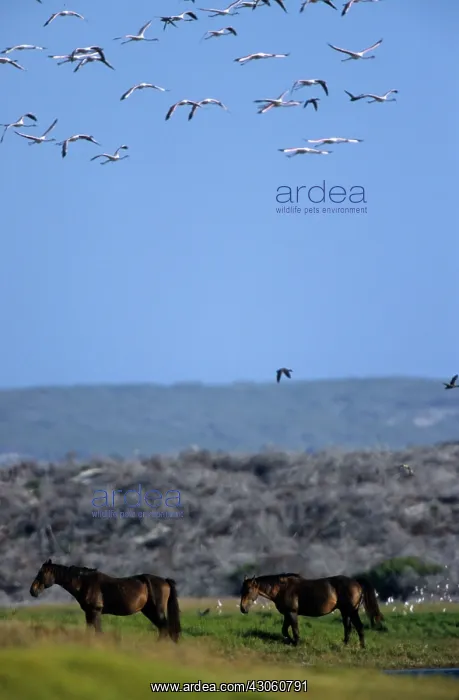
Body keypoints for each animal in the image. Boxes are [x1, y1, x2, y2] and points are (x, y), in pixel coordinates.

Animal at [30, 559, 181, 642]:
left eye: (42, 573)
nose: (33, 590)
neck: (84, 582)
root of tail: (165, 581)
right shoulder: (89, 613)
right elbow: (90, 630)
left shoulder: (95, 611)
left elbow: (98, 632)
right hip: (149, 611)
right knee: (163, 629)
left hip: (156, 611)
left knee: (164, 628)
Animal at [240, 573, 384, 648]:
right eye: (242, 590)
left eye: (249, 590)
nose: (242, 609)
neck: (283, 588)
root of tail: (356, 582)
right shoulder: (287, 614)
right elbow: (284, 630)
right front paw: (290, 641)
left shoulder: (292, 613)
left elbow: (295, 629)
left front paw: (296, 643)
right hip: (345, 612)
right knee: (348, 628)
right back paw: (345, 644)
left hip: (352, 611)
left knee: (359, 627)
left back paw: (362, 647)